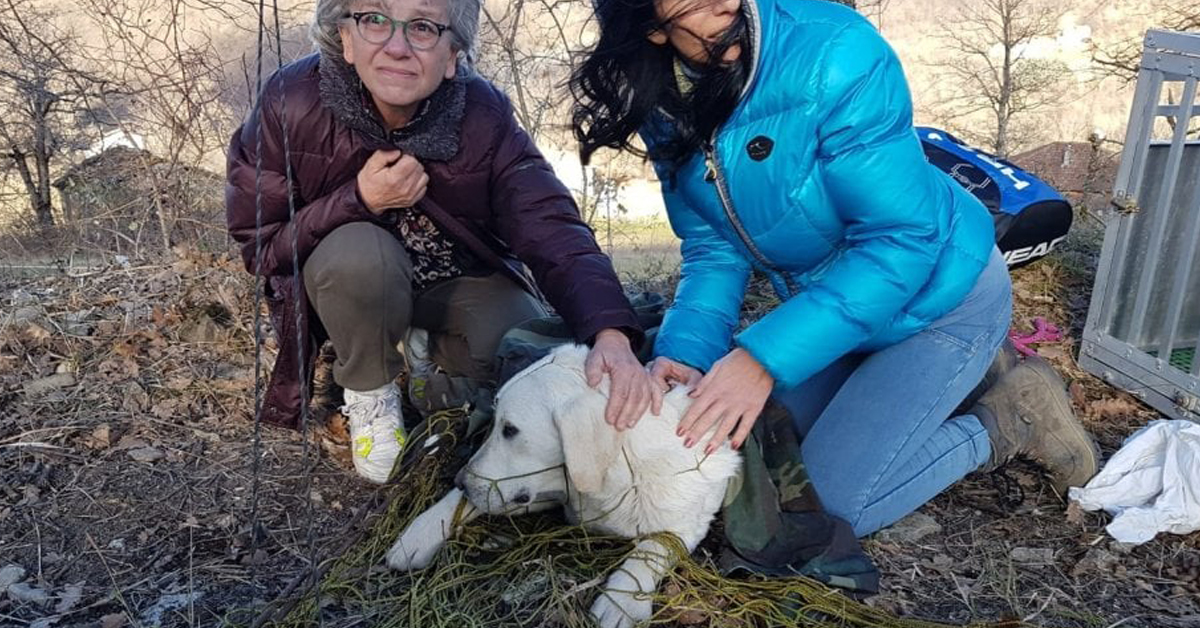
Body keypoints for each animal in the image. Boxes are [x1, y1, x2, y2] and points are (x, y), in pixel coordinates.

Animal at [386, 345, 739, 624]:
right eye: (499, 424)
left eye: (510, 429)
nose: (460, 480)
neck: (619, 478)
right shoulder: (548, 492)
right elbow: (471, 500)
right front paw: (421, 532)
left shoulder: (689, 523)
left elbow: (654, 546)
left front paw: (620, 601)